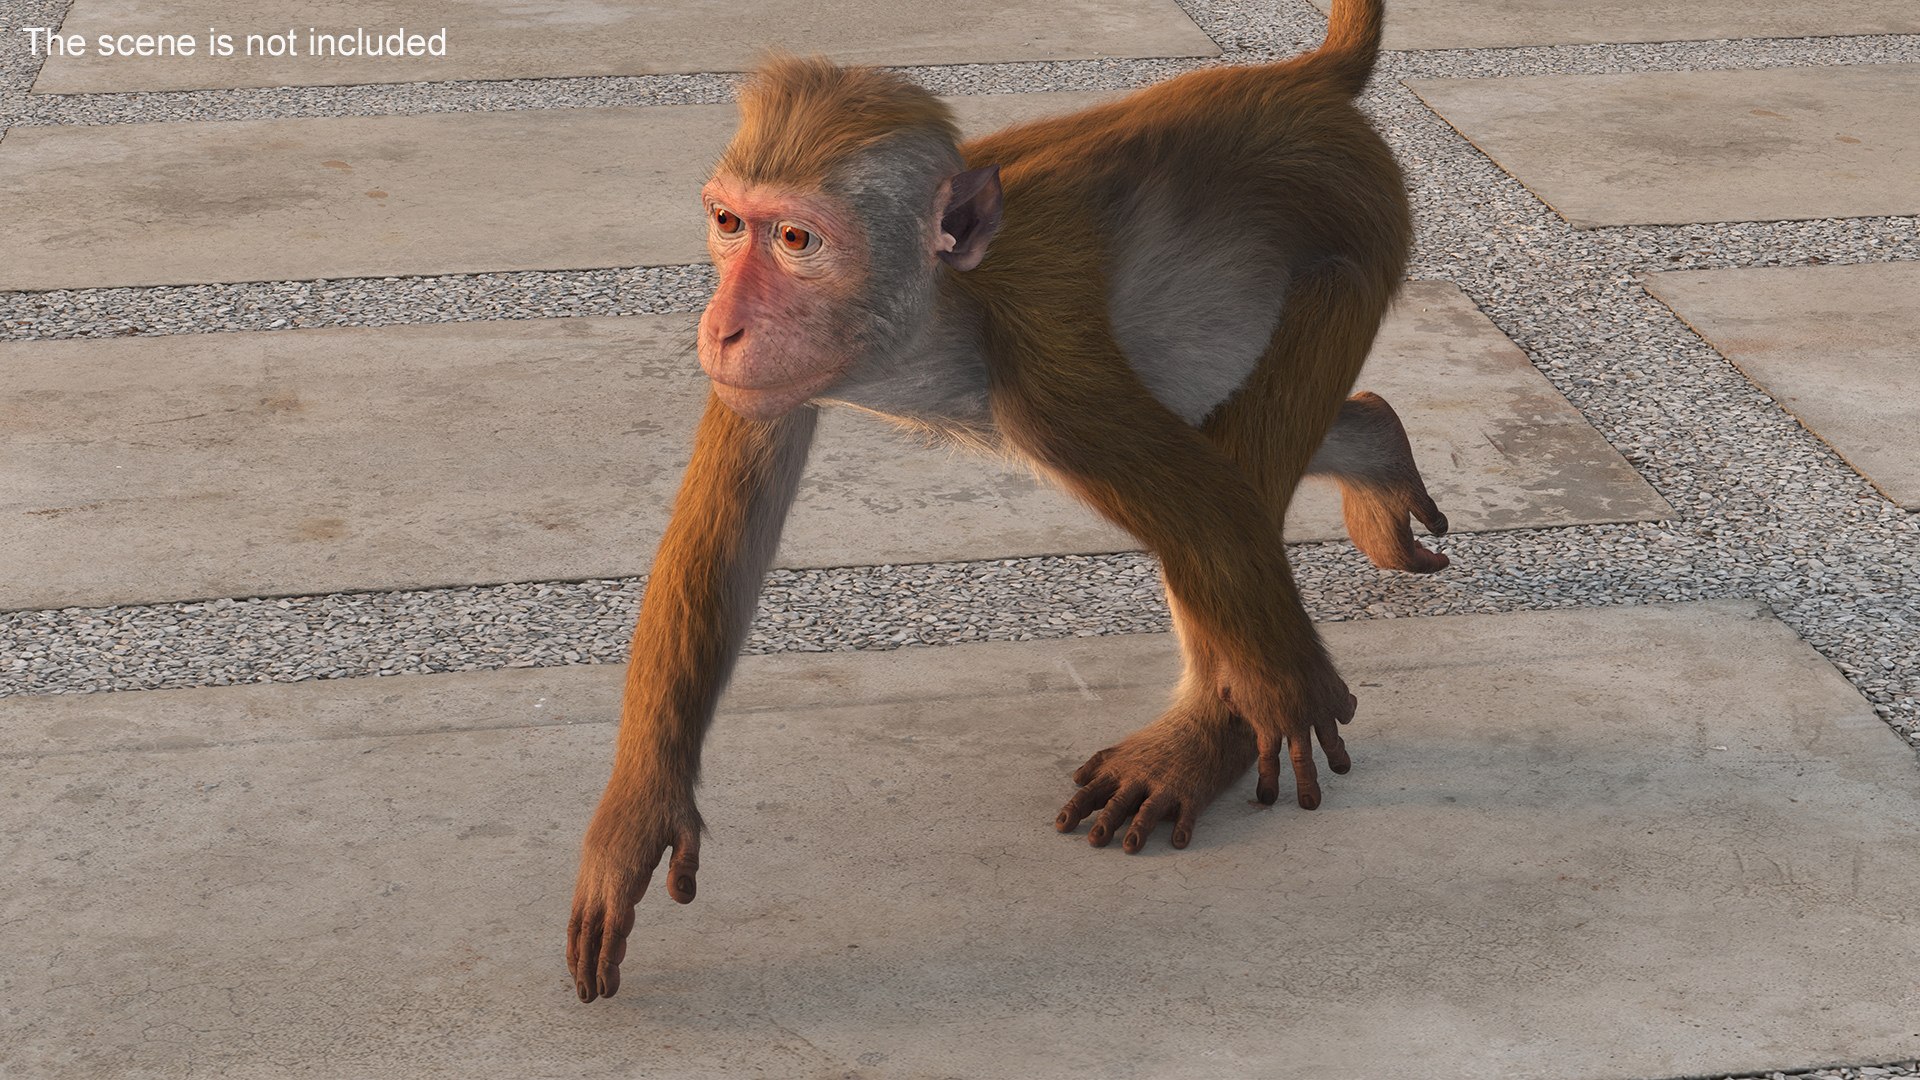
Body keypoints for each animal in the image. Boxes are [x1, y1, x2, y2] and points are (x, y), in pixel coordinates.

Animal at [566, 0, 1448, 1001]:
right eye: (728, 223)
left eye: (796, 240)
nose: (722, 325)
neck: (941, 307)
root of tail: (1298, 82)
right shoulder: (762, 380)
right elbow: (719, 551)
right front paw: (635, 821)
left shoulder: (1046, 366)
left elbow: (1213, 505)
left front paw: (1285, 692)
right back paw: (1375, 443)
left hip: (1356, 231)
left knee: (1234, 469)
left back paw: (1202, 740)